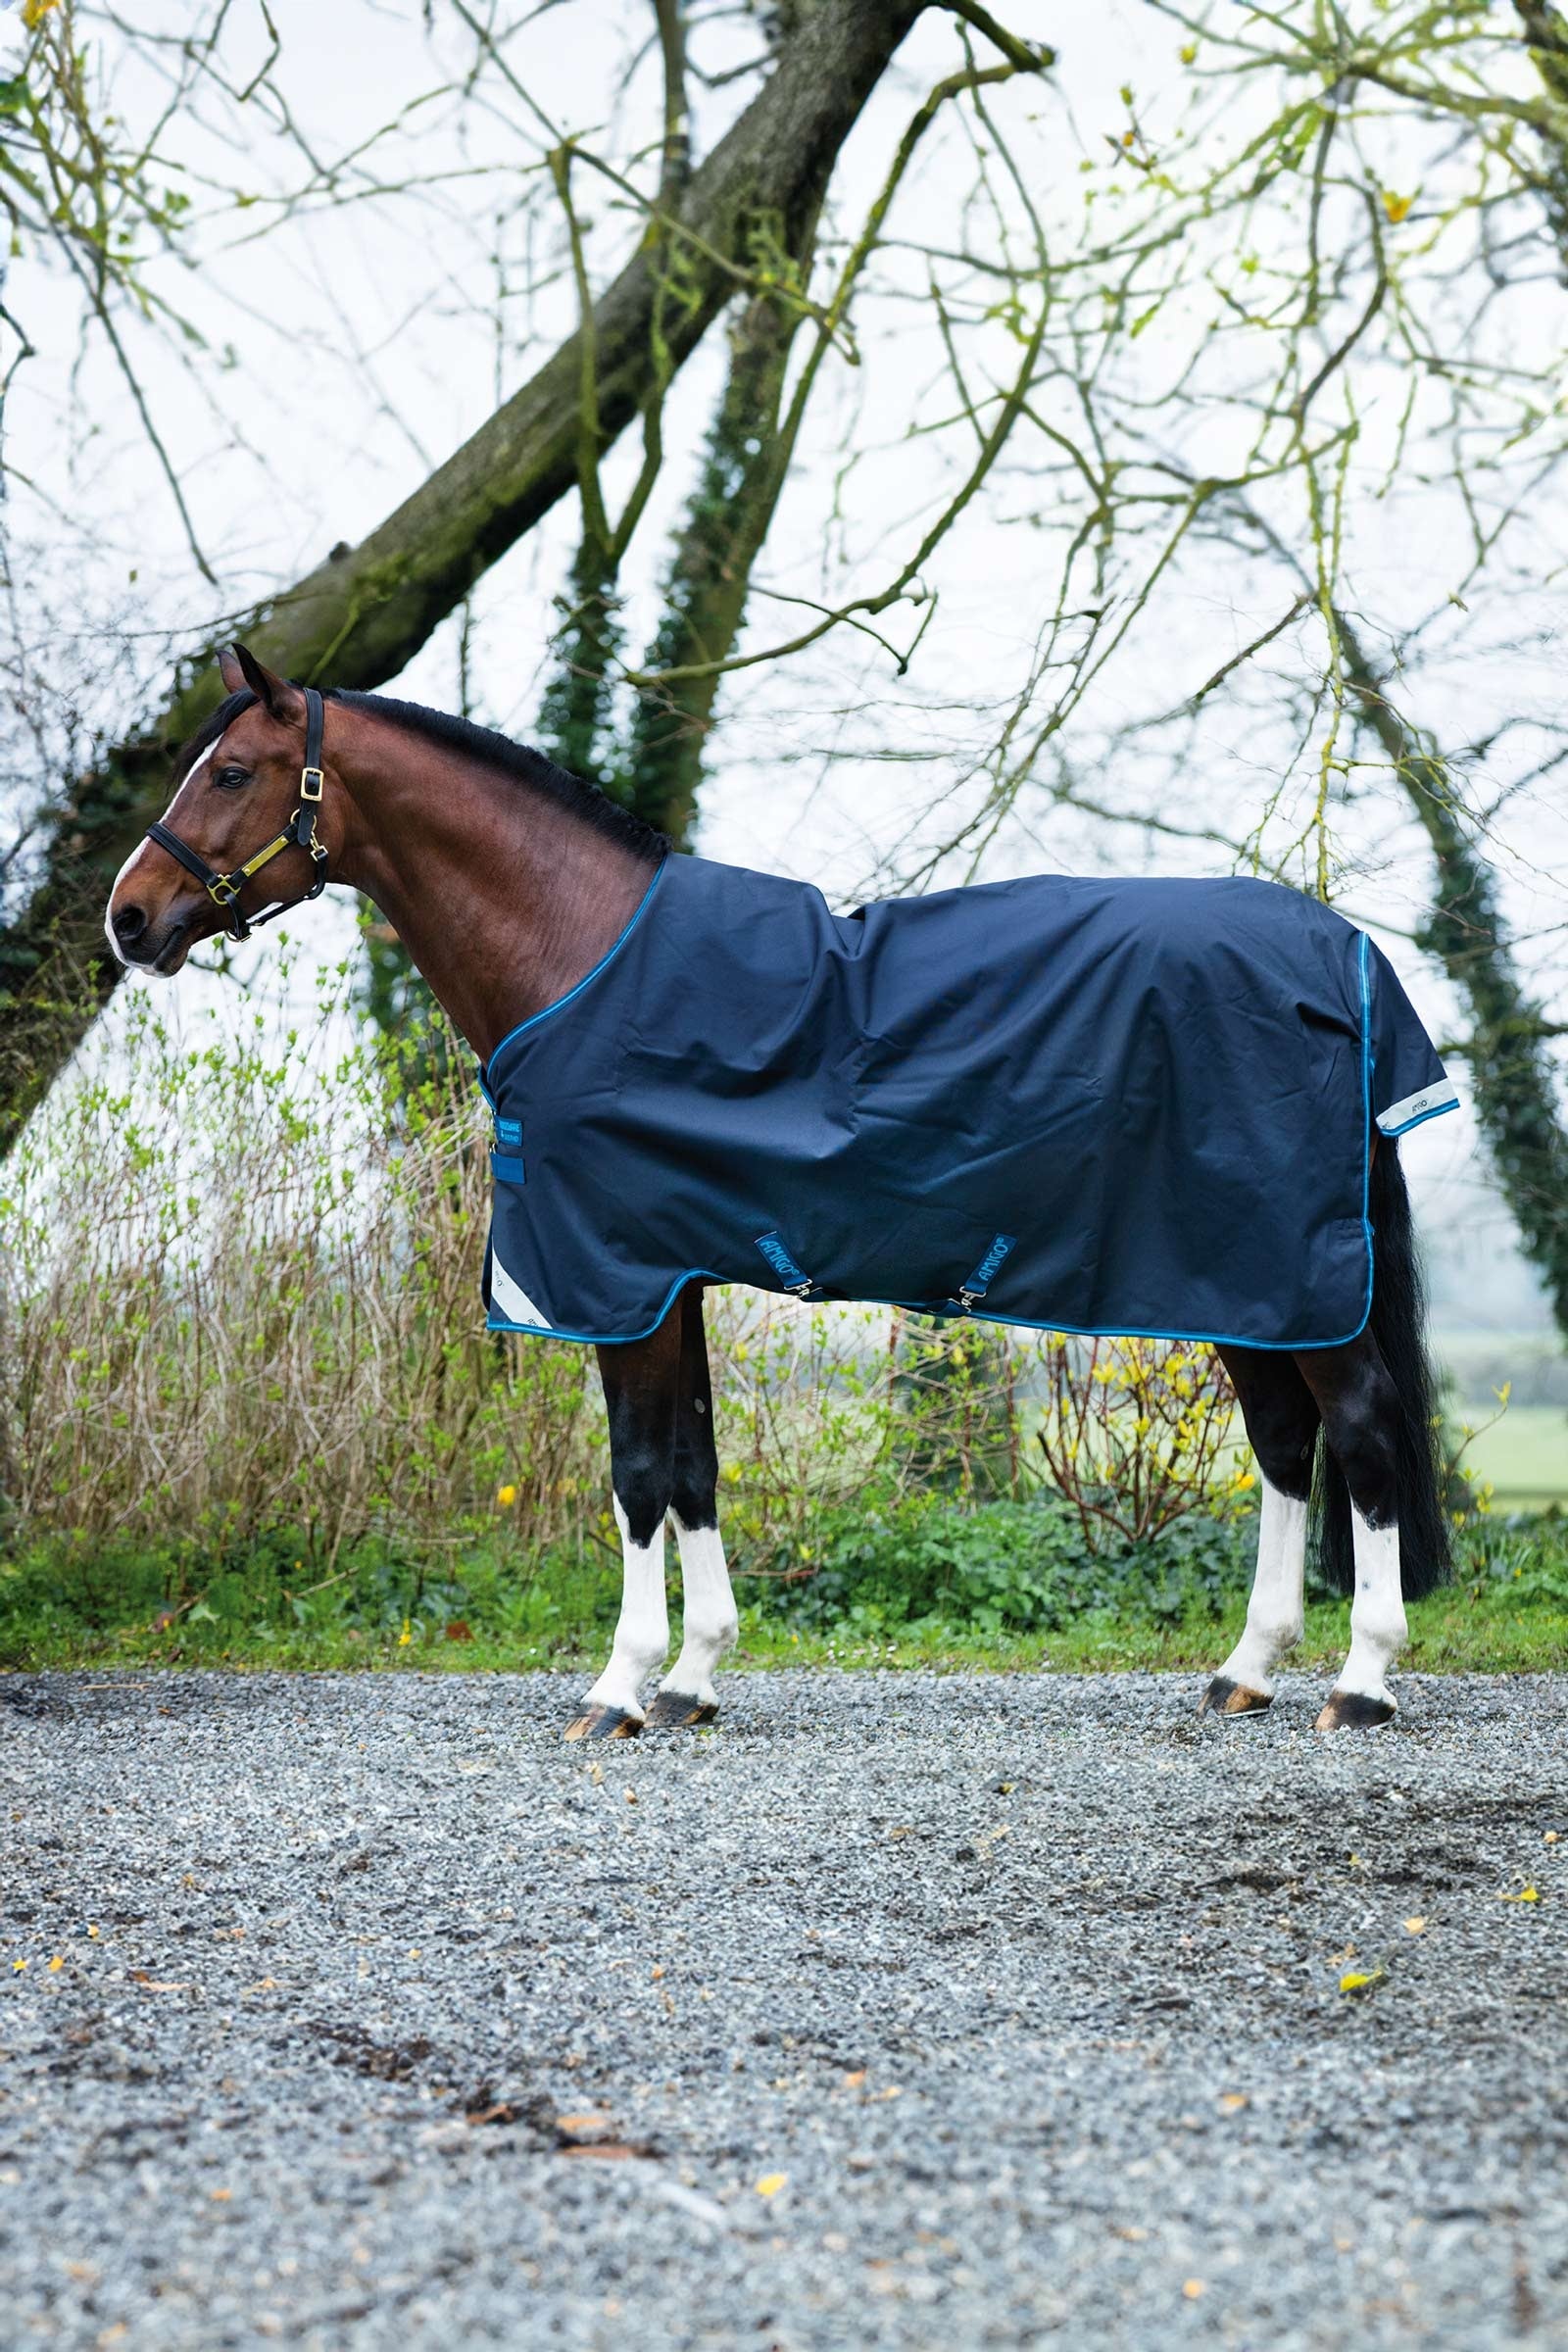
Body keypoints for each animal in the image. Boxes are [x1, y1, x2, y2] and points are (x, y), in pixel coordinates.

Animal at [105, 644, 1457, 1738]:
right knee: (1283, 1442)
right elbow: (694, 1469)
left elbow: (638, 1476)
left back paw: (1361, 1683)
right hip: (1235, 1276)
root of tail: (1340, 950)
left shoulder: (622, 1282)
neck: (585, 957)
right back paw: (1247, 1670)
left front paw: (619, 1689)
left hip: (1283, 1271)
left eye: (230, 772)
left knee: (1360, 1429)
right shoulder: (673, 1278)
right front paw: (694, 1680)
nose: (127, 918)